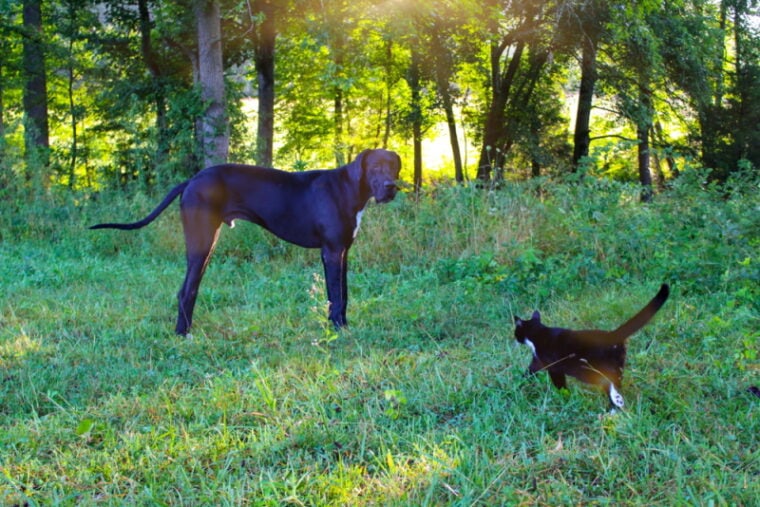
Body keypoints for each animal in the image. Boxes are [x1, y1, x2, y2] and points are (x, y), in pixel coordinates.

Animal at [91, 149, 400, 336]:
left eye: (393, 167)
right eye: (375, 167)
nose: (390, 187)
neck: (349, 188)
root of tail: (191, 180)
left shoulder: (342, 253)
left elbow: (342, 294)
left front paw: (342, 326)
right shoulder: (332, 252)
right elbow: (336, 295)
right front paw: (338, 330)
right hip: (202, 243)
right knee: (186, 290)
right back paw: (183, 334)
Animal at [512, 284, 668, 410]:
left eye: (516, 332)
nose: (515, 339)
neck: (538, 333)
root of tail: (612, 335)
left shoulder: (551, 365)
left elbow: (555, 381)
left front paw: (564, 396)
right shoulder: (538, 361)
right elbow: (530, 371)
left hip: (591, 369)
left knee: (608, 384)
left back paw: (615, 403)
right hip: (617, 365)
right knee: (616, 384)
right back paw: (616, 404)